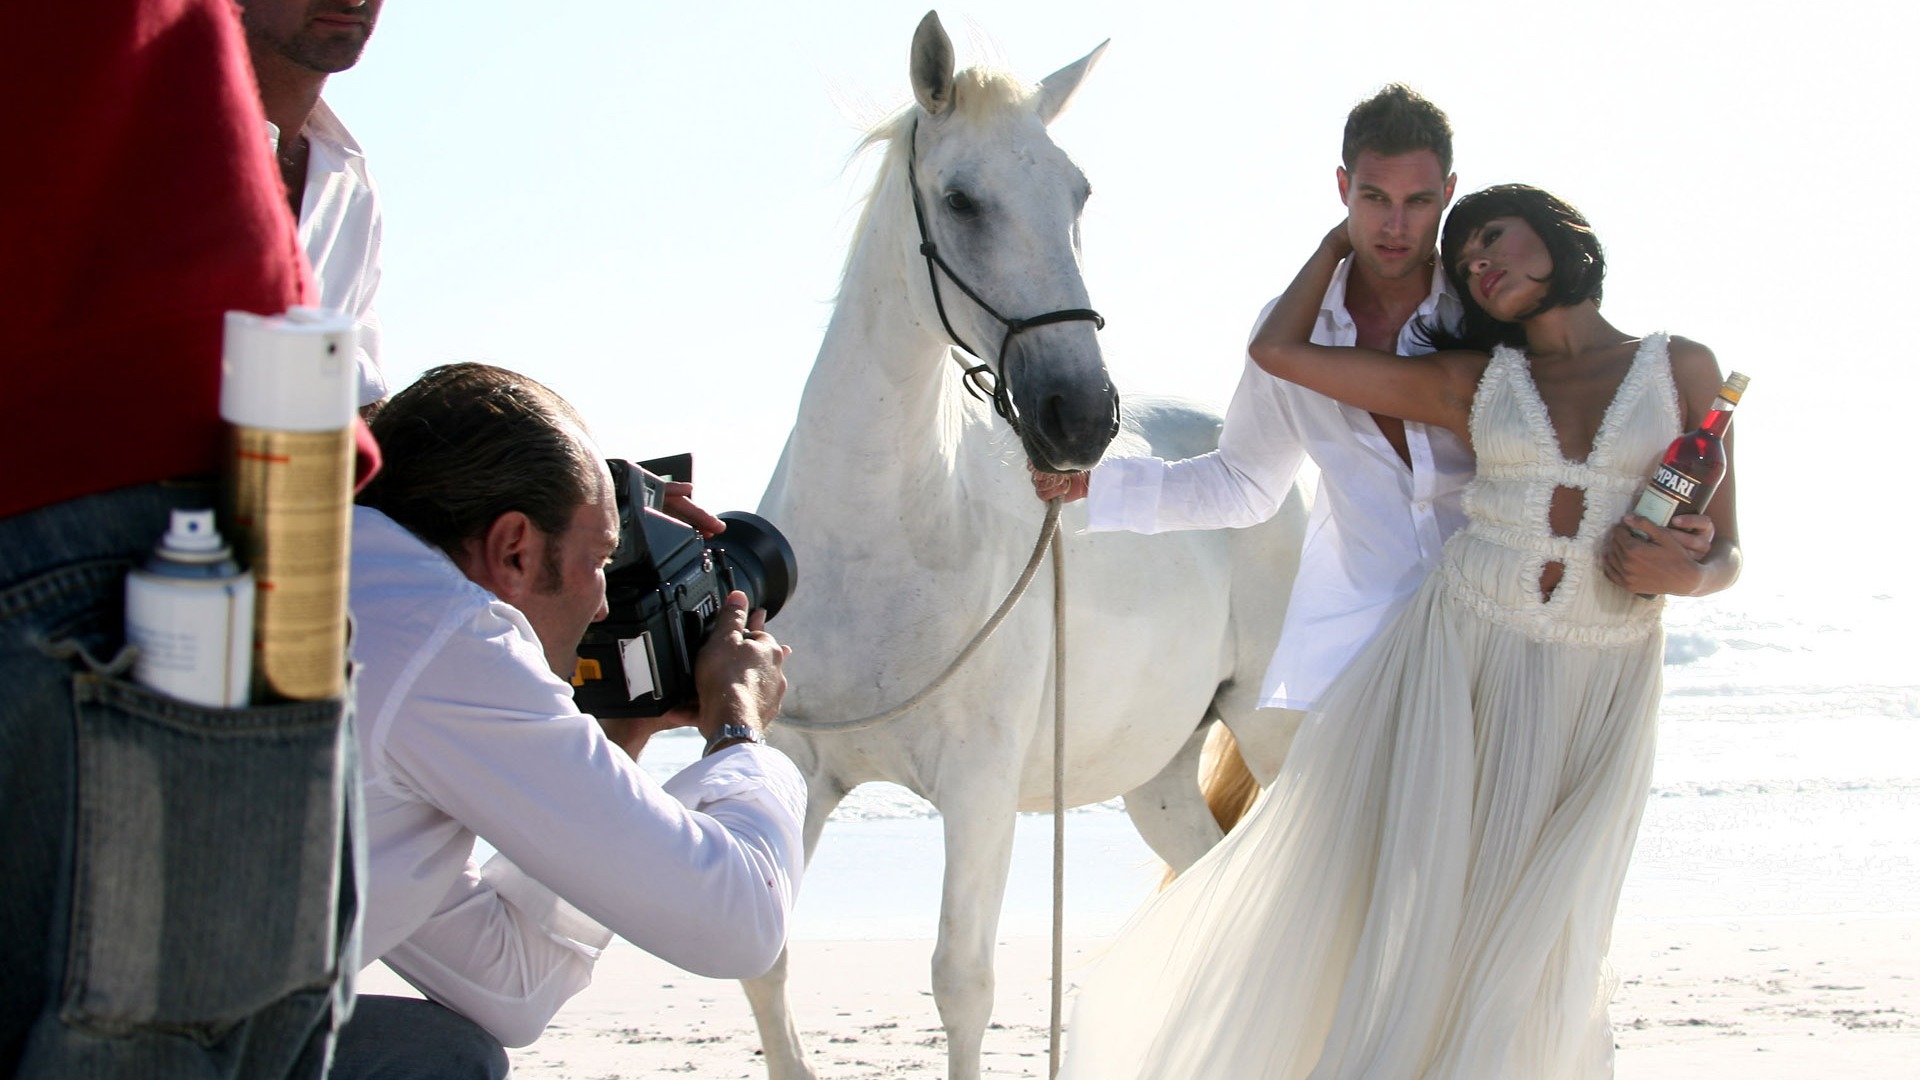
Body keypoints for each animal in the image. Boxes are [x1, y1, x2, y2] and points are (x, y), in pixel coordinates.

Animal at [741, 10, 1313, 1076]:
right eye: (961, 200)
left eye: (1077, 192)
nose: (1079, 415)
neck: (886, 539)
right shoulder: (799, 769)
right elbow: (768, 960)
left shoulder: (978, 792)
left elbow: (961, 984)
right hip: (1158, 776)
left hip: (1273, 730)